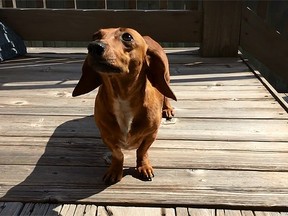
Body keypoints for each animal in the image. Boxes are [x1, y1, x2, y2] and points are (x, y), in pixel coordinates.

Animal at [72, 27, 176, 184]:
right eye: (95, 36)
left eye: (127, 36)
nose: (94, 46)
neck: (123, 98)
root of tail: (147, 37)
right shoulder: (106, 136)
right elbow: (117, 154)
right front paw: (115, 170)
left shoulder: (151, 134)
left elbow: (142, 151)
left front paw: (144, 166)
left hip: (166, 77)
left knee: (166, 94)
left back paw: (168, 109)